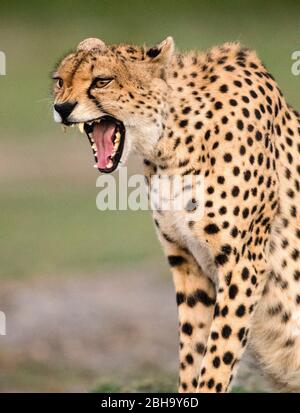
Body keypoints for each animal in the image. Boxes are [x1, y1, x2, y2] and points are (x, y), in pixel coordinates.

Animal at [52, 37, 300, 392]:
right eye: (60, 81)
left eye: (102, 80)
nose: (61, 108)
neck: (171, 140)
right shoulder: (187, 261)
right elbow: (193, 352)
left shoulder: (243, 263)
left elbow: (218, 356)